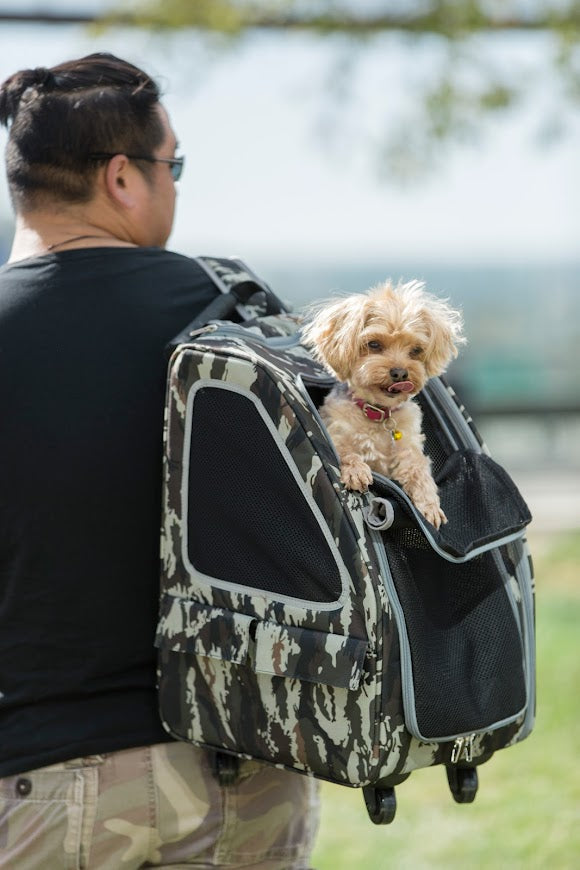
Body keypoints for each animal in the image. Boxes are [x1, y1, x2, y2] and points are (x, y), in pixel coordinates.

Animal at [302, 282, 464, 528]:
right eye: (374, 344)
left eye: (416, 350)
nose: (400, 373)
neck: (377, 412)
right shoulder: (335, 433)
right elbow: (345, 451)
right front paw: (357, 471)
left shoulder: (408, 448)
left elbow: (419, 471)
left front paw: (430, 506)